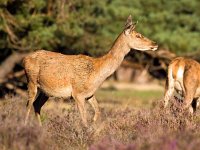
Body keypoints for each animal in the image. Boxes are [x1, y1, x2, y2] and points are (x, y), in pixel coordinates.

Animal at [23, 15, 158, 126]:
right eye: (138, 35)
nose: (155, 44)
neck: (96, 73)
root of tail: (25, 59)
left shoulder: (89, 94)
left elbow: (98, 111)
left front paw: (93, 124)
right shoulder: (77, 93)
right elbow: (84, 120)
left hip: (46, 91)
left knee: (36, 105)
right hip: (31, 81)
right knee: (28, 106)